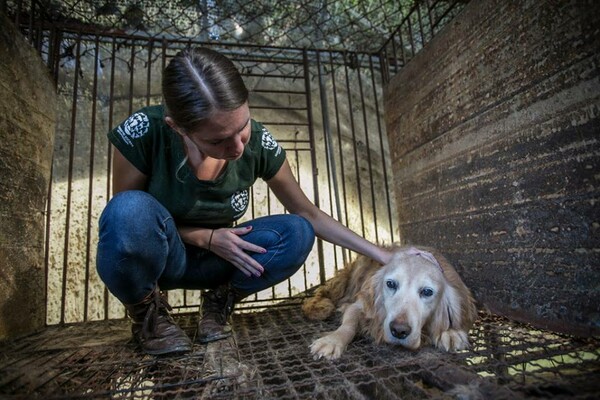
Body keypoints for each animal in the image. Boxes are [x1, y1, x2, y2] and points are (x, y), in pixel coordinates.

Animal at [304, 245, 478, 360]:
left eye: (427, 292)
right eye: (391, 284)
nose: (399, 331)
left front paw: (451, 332)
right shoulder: (361, 306)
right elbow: (349, 324)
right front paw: (333, 340)